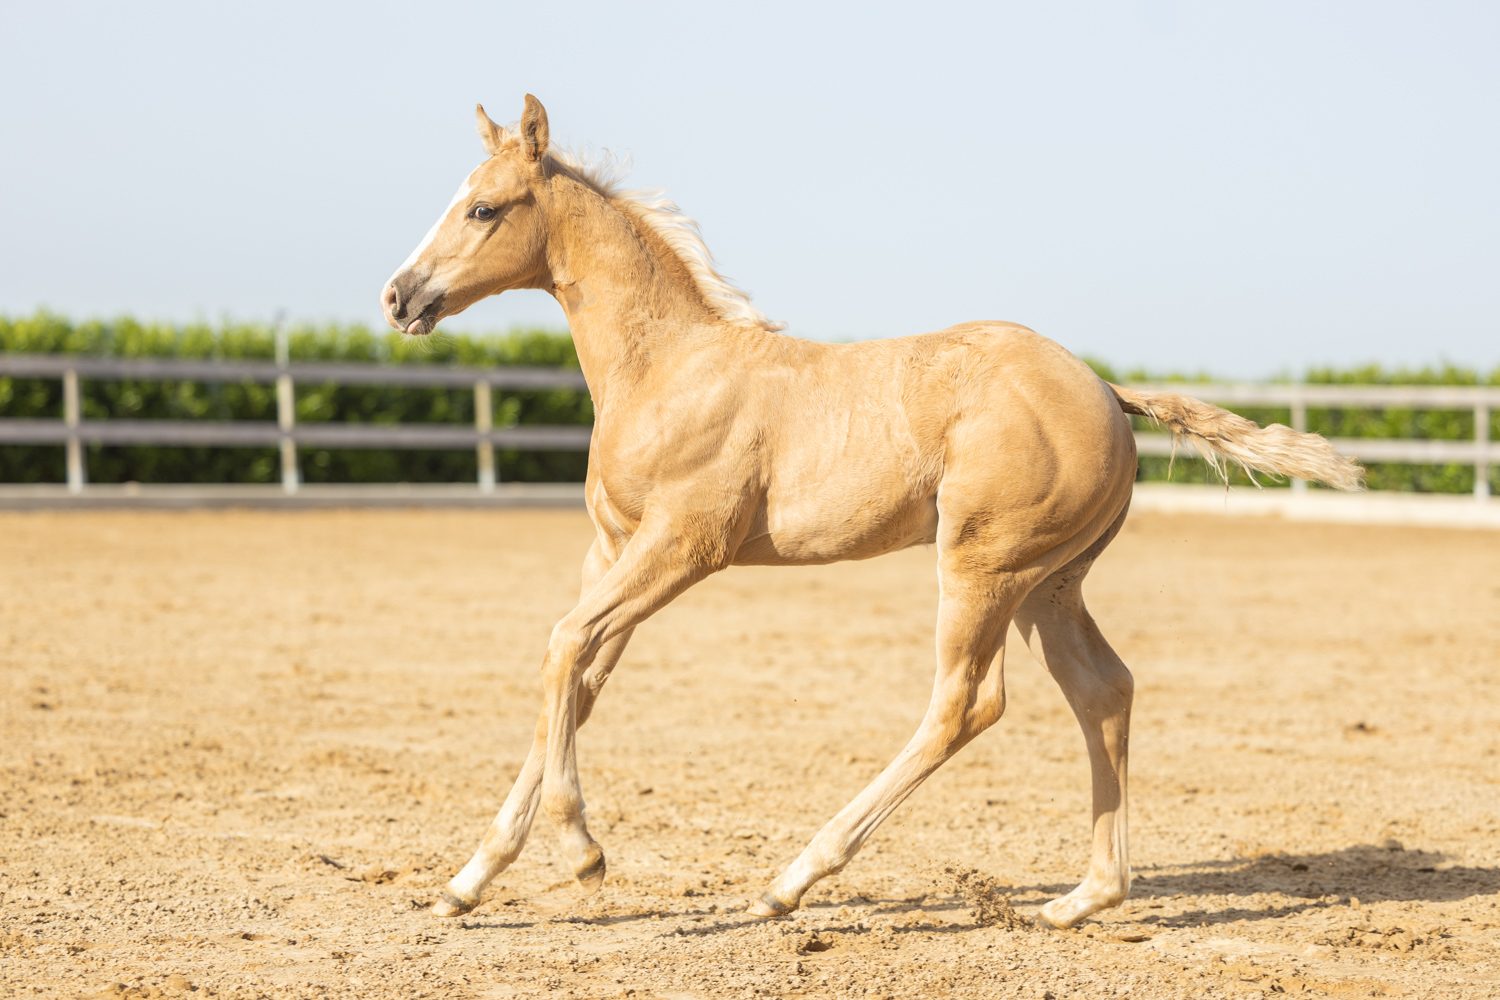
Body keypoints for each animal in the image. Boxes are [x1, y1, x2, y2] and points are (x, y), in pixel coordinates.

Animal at [379, 94, 1362, 929]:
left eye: (483, 209)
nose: (398, 297)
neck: (668, 368)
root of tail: (1107, 391)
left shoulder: (683, 546)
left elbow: (563, 648)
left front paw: (582, 852)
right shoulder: (612, 549)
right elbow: (576, 679)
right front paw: (469, 881)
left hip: (983, 566)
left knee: (967, 703)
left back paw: (793, 880)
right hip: (1049, 584)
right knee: (1103, 691)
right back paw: (1084, 897)